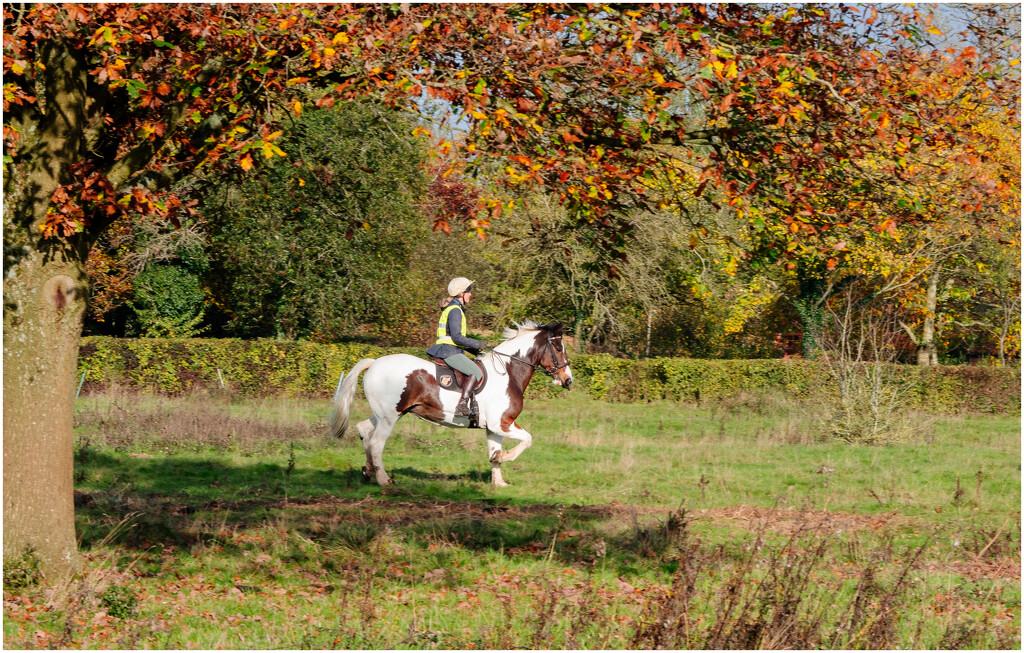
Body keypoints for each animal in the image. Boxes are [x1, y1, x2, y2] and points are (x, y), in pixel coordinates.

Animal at [327, 321, 573, 487]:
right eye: (559, 349)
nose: (568, 380)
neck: (509, 372)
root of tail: (374, 362)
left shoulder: (494, 428)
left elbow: (495, 453)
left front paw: (499, 482)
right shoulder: (502, 423)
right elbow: (527, 440)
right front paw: (504, 458)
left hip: (386, 413)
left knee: (364, 431)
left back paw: (368, 471)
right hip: (390, 416)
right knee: (376, 443)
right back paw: (384, 479)